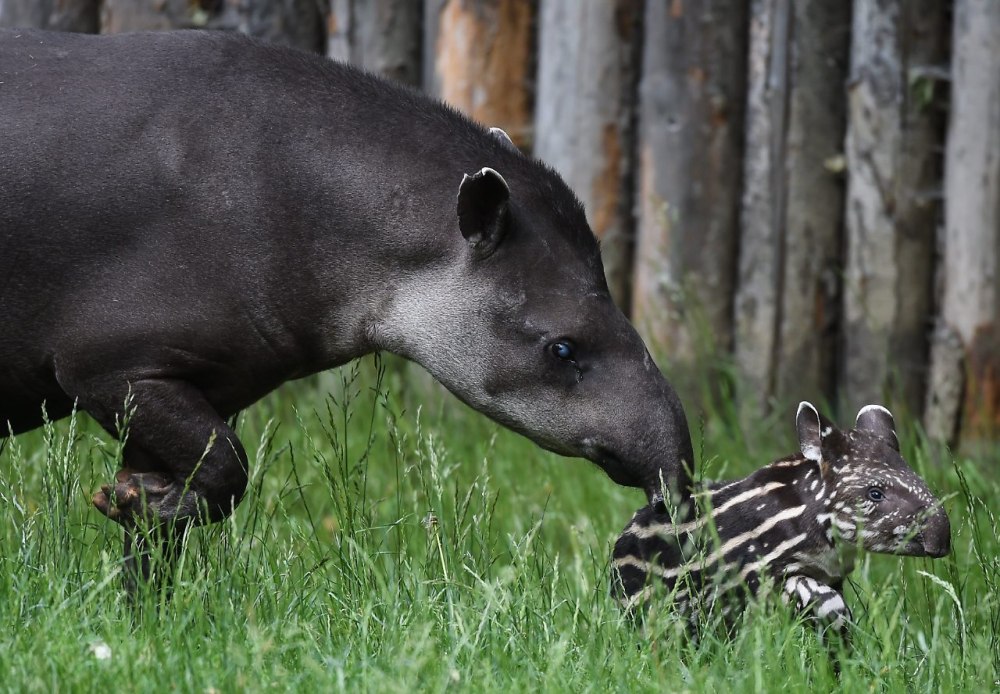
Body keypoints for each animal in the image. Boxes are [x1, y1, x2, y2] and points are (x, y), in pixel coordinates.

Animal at [0, 29, 692, 572]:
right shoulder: (109, 361)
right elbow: (230, 466)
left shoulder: (188, 381)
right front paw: (138, 508)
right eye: (562, 348)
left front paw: (143, 545)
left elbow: (162, 533)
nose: (674, 480)